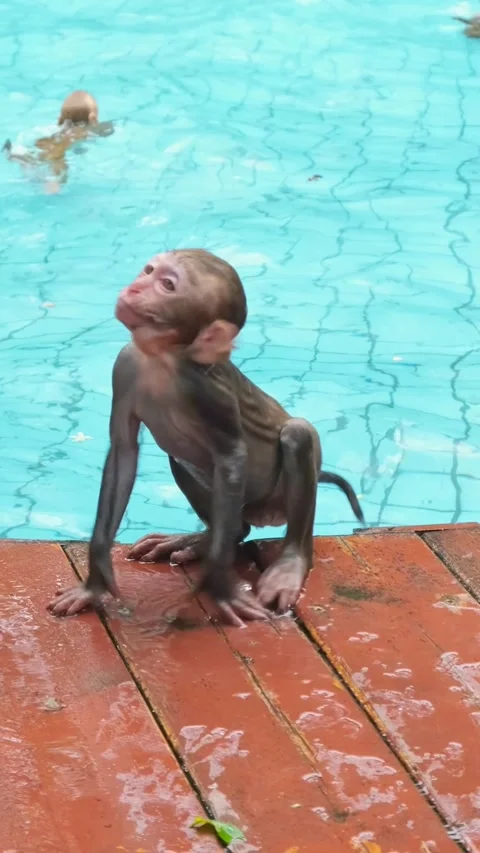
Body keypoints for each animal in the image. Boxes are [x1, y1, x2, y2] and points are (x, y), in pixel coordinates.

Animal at [48, 249, 364, 627]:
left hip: (279, 500)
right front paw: (95, 584)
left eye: (167, 285)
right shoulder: (125, 366)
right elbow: (123, 453)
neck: (164, 359)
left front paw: (220, 587)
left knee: (297, 433)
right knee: (190, 469)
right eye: (148, 270)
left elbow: (231, 457)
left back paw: (290, 561)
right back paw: (204, 538)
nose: (135, 288)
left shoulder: (207, 392)